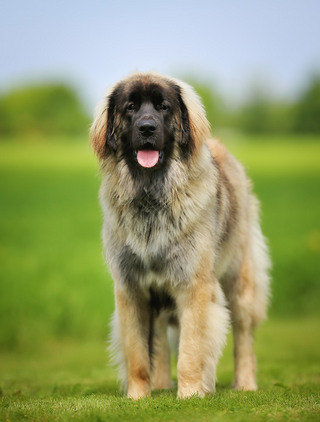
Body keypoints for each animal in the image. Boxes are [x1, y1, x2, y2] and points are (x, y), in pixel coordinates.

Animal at [90, 71, 270, 398]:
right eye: (130, 107)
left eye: (163, 107)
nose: (147, 128)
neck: (150, 196)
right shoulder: (131, 289)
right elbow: (137, 353)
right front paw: (137, 397)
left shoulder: (193, 286)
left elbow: (191, 349)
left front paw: (190, 394)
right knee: (160, 338)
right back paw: (161, 384)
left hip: (240, 282)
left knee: (243, 336)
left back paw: (245, 384)